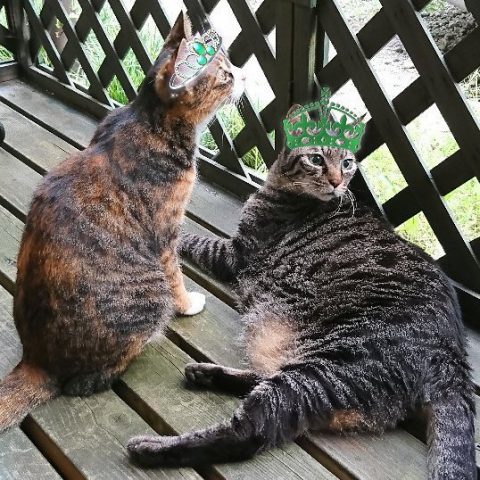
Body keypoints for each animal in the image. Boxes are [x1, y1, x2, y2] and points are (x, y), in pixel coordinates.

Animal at [0, 13, 244, 431]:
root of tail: (36, 360)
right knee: (86, 383)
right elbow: (178, 277)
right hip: (149, 295)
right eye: (225, 75)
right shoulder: (165, 235)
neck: (147, 118)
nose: (243, 75)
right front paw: (188, 304)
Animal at [127, 121, 475, 479]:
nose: (337, 182)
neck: (281, 188)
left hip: (331, 366)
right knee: (266, 380)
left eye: (347, 164)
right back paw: (205, 373)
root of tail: (453, 361)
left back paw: (152, 448)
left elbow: (193, 240)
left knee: (252, 429)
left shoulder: (234, 254)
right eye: (316, 159)